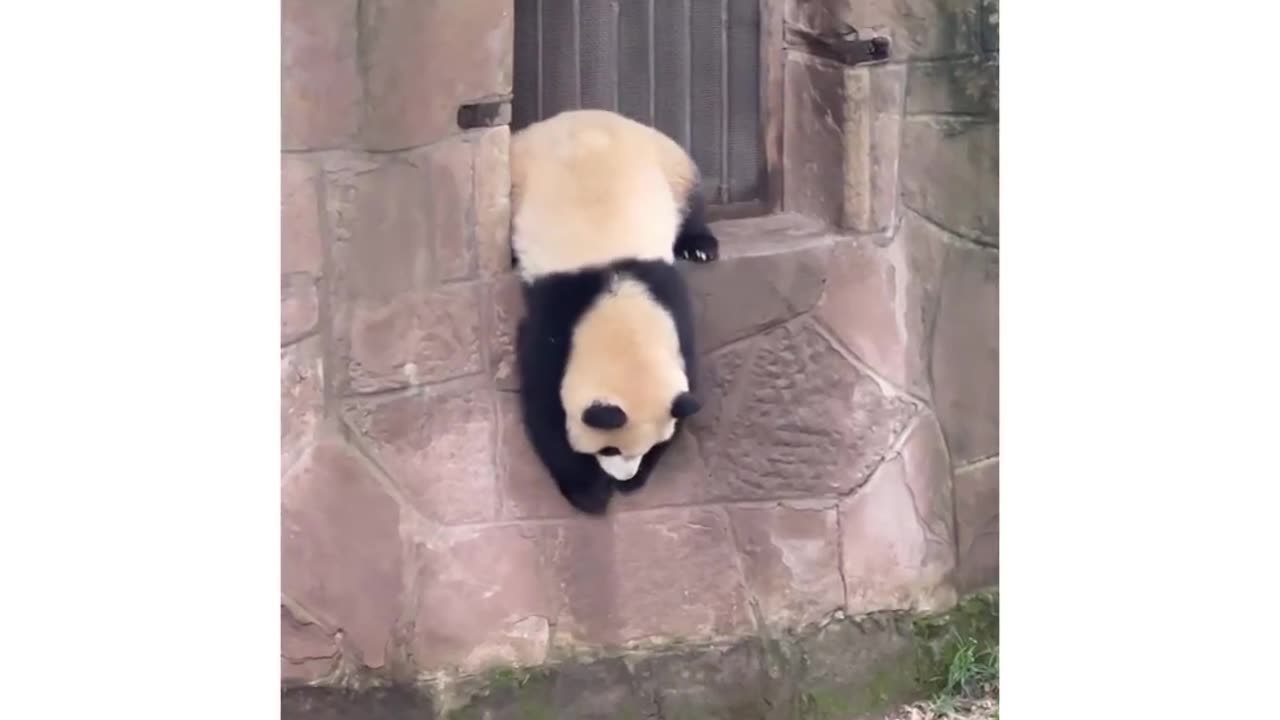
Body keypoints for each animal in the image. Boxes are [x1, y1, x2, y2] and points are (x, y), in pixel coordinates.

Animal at [506, 106, 721, 512]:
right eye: (609, 449)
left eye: (649, 446)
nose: (623, 477)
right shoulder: (556, 314)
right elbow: (544, 404)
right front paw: (588, 491)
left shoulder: (667, 298)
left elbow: (687, 388)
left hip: (669, 162)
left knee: (691, 203)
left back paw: (700, 246)